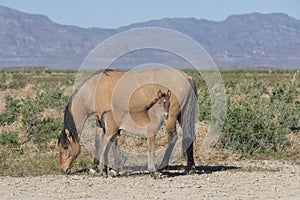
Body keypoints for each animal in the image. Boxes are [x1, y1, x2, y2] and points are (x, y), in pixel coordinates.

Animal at [57, 67, 198, 177]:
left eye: (65, 146)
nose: (63, 169)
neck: (92, 90)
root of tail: (188, 77)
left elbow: (111, 143)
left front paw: (113, 169)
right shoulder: (100, 122)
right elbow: (99, 142)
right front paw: (96, 168)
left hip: (171, 117)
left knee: (173, 138)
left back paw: (162, 167)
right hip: (182, 115)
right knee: (188, 136)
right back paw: (189, 167)